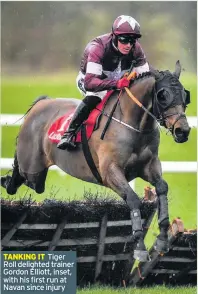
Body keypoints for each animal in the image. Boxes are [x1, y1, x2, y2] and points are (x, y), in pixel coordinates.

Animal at [1, 60, 190, 260]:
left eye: (185, 95)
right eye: (163, 95)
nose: (183, 131)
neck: (132, 125)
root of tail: (42, 103)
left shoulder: (149, 166)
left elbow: (162, 188)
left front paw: (162, 239)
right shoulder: (110, 172)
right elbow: (132, 199)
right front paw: (139, 246)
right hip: (32, 168)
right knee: (18, 178)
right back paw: (6, 180)